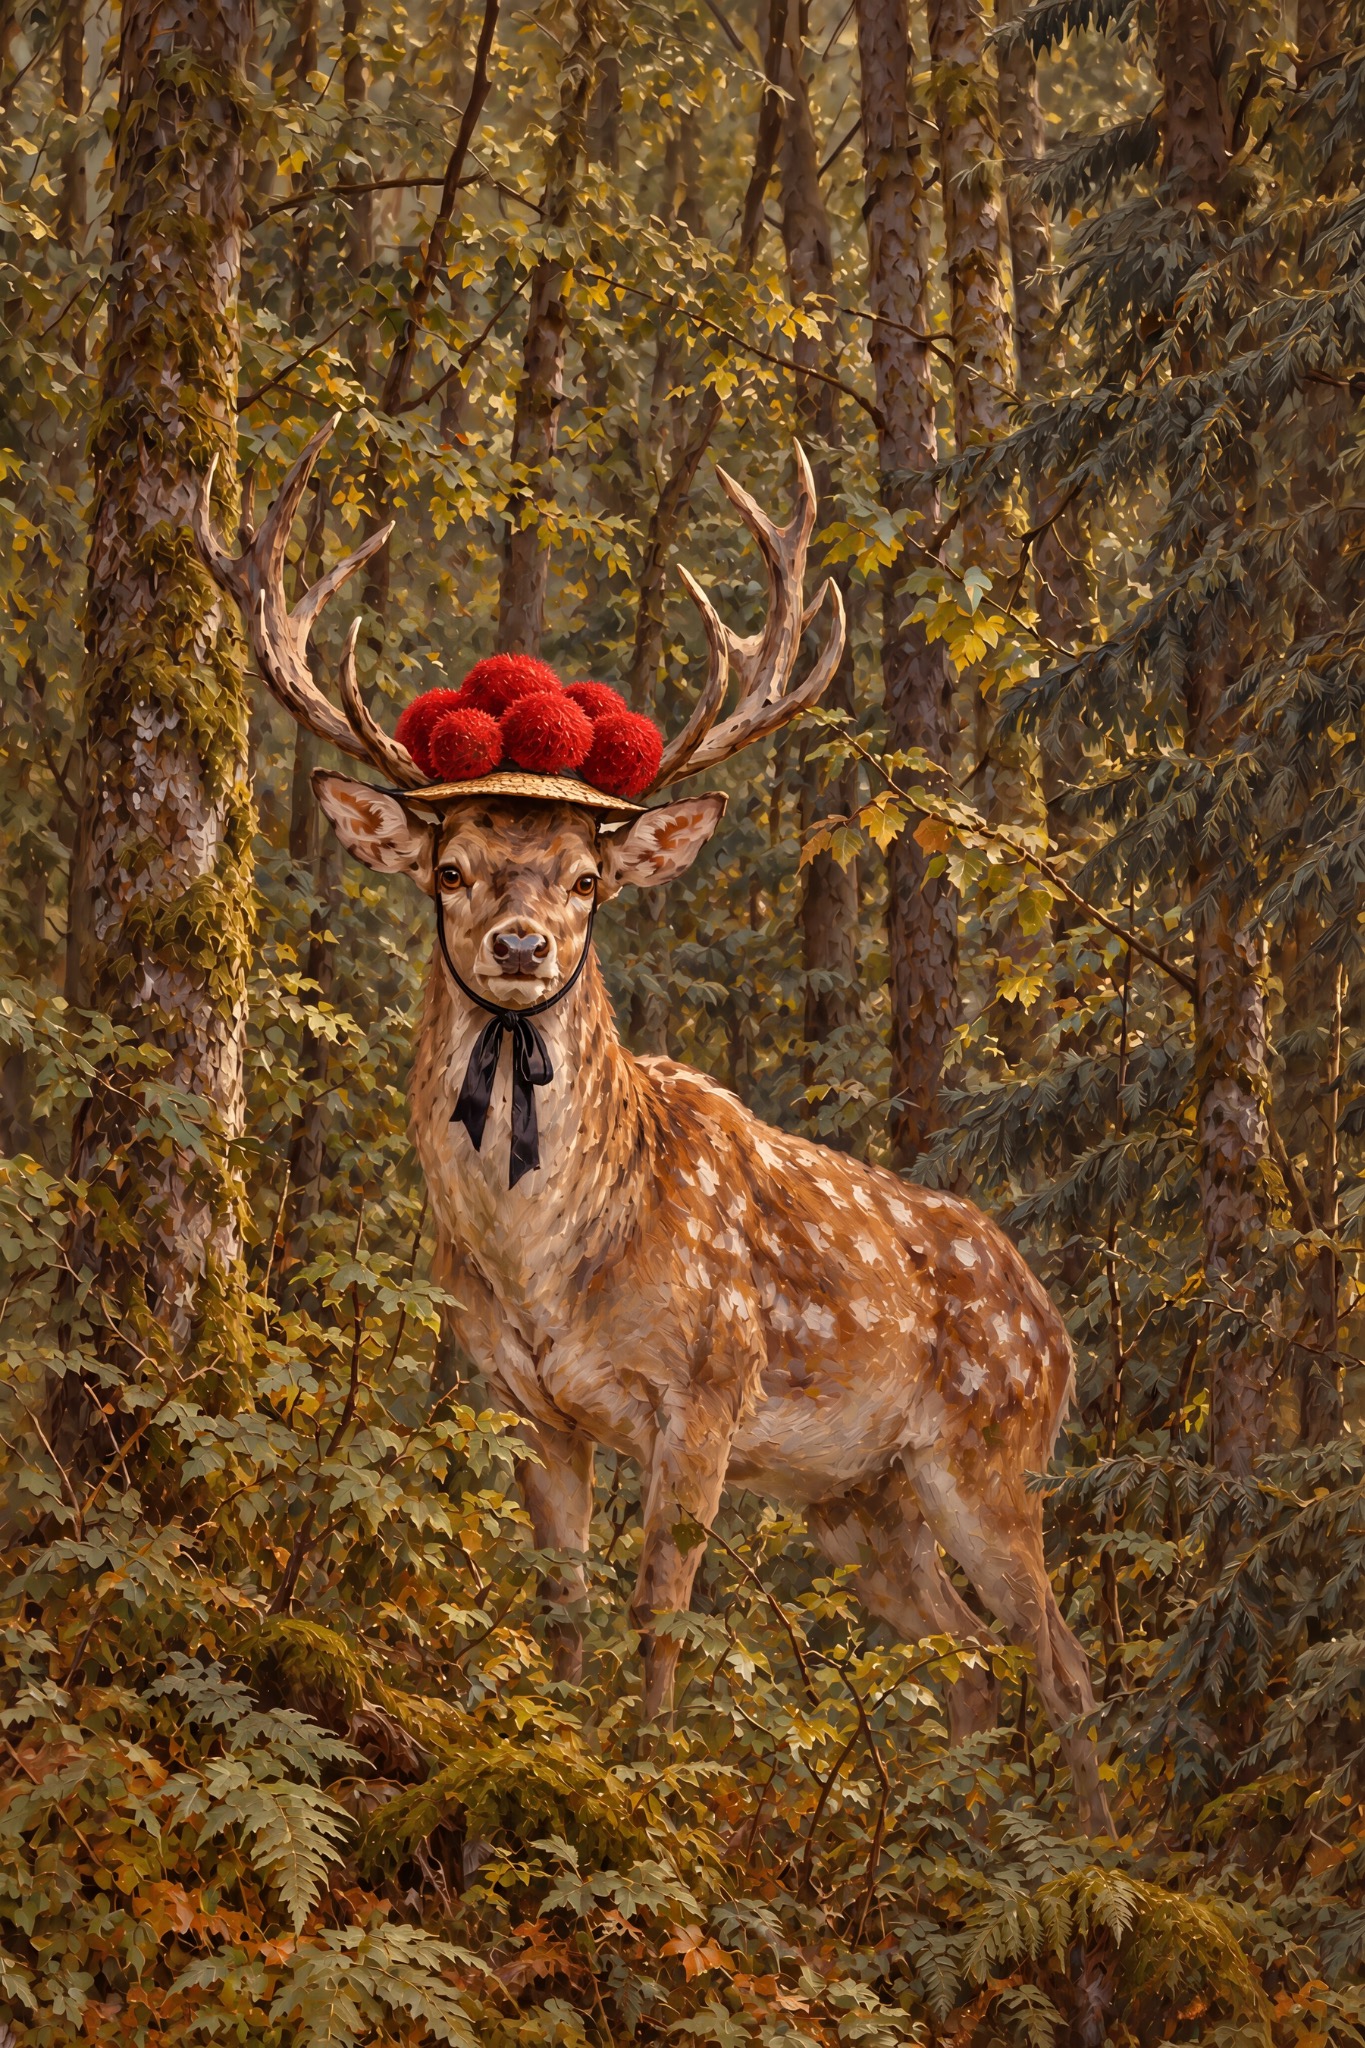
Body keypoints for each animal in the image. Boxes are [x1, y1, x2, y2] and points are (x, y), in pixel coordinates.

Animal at [193, 419, 1111, 1835]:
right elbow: (566, 1598)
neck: (551, 1260)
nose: (521, 944)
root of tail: (1055, 1324)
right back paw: (953, 1839)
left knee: (1060, 1660)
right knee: (963, 1656)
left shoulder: (709, 1387)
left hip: (991, 1456)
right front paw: (562, 1750)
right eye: (451, 867)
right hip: (861, 1498)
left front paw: (654, 1779)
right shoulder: (526, 1399)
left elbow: (660, 1606)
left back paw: (1095, 1858)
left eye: (587, 878)